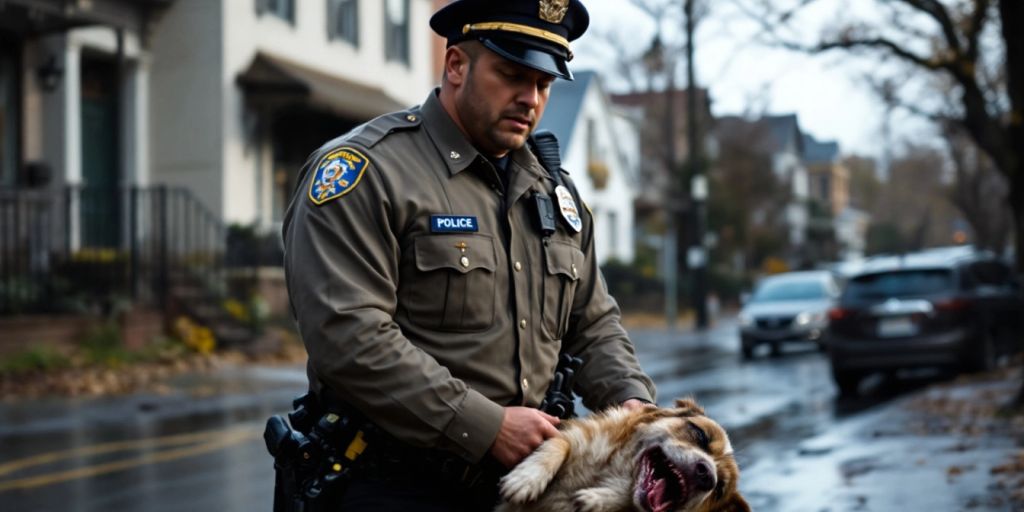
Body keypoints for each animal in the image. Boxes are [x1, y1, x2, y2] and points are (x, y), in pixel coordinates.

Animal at [497, 399, 753, 512]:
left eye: (719, 488)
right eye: (700, 435)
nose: (707, 475)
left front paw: (597, 499)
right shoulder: (570, 435)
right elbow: (559, 444)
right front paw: (526, 479)